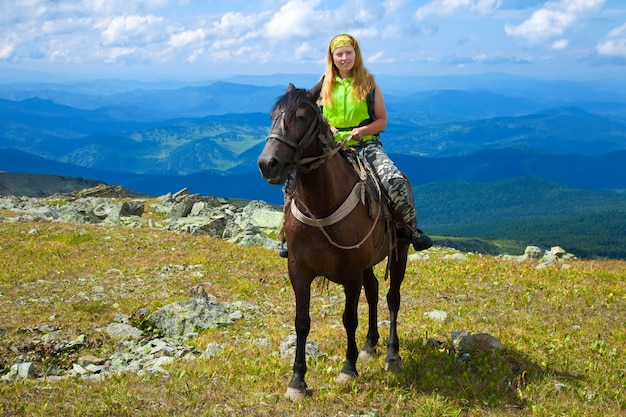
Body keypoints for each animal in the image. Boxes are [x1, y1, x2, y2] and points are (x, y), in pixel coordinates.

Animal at [256, 83, 408, 398]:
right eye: (273, 116)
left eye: (302, 116)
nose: (267, 164)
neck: (323, 202)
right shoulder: (298, 270)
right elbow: (301, 322)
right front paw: (297, 380)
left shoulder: (350, 273)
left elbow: (349, 318)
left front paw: (348, 369)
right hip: (367, 264)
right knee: (374, 291)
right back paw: (369, 345)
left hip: (400, 252)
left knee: (392, 298)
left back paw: (392, 354)